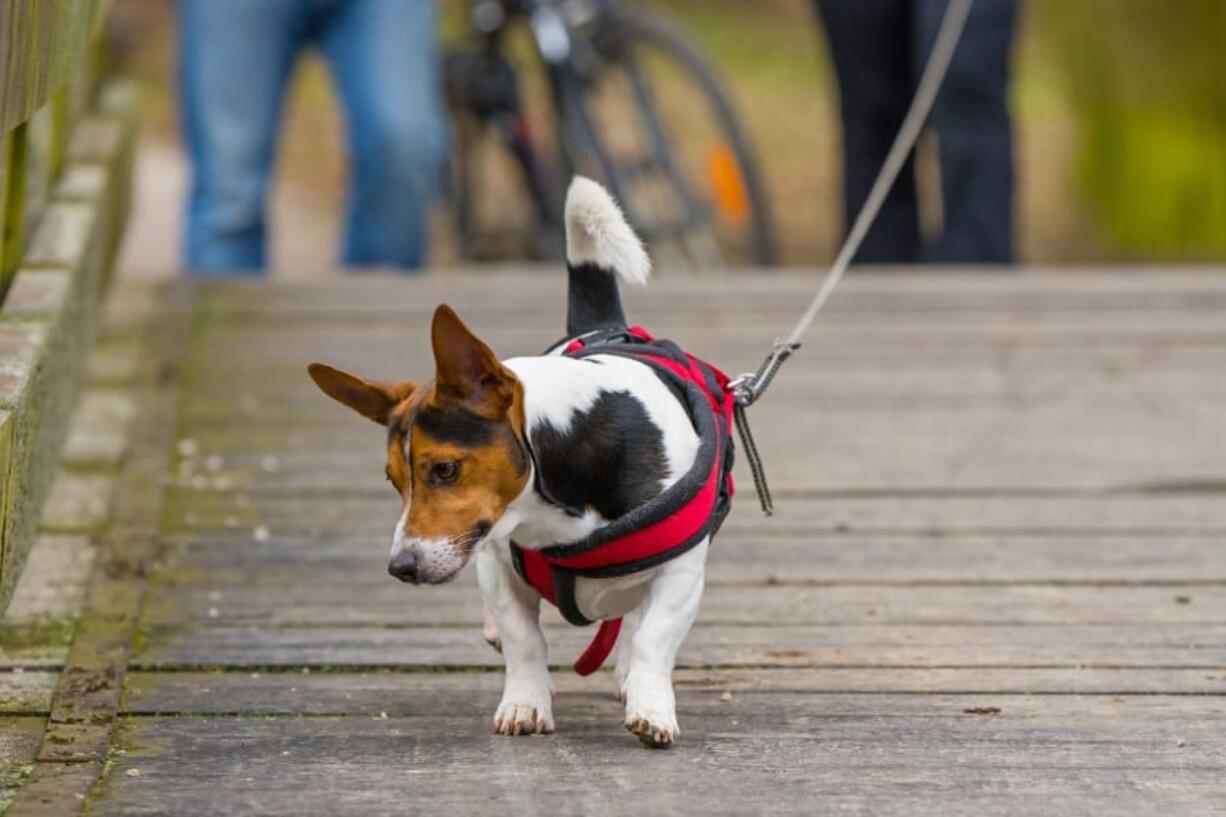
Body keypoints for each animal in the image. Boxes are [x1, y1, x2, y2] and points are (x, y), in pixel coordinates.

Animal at [311, 177, 730, 745]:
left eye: (445, 469)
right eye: (393, 481)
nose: (401, 568)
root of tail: (607, 329)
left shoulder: (680, 574)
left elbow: (652, 637)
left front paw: (651, 708)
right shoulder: (494, 560)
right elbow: (524, 639)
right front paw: (526, 705)